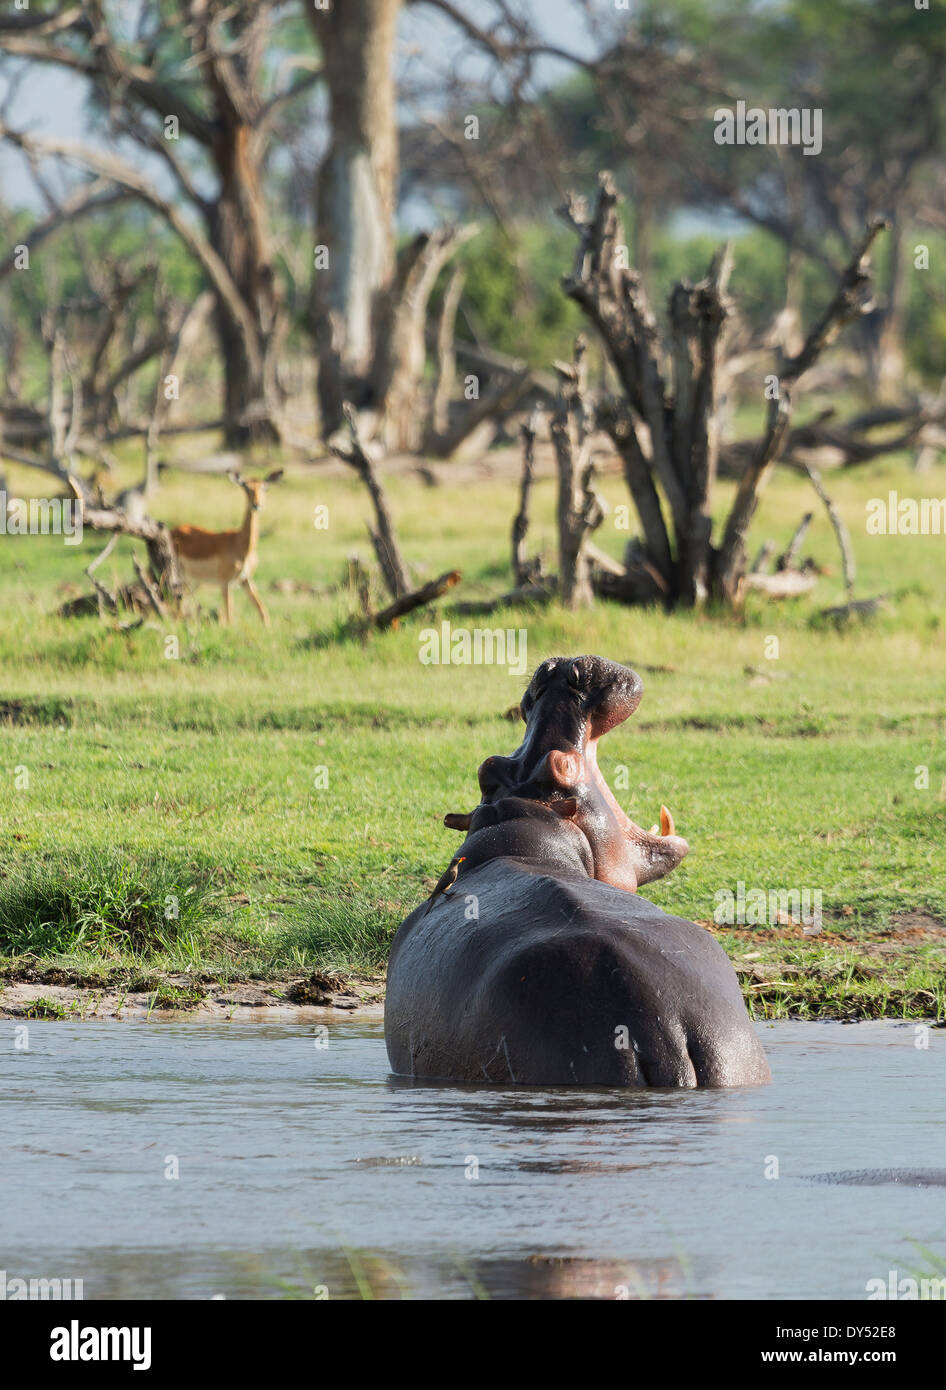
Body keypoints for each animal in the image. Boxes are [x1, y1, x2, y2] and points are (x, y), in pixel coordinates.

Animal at [170, 469, 281, 628]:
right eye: (246, 487)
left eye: (265, 487)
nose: (256, 505)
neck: (242, 546)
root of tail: (172, 531)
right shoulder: (225, 583)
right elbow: (229, 616)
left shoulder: (245, 580)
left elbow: (262, 611)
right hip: (180, 577)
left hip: (193, 582)